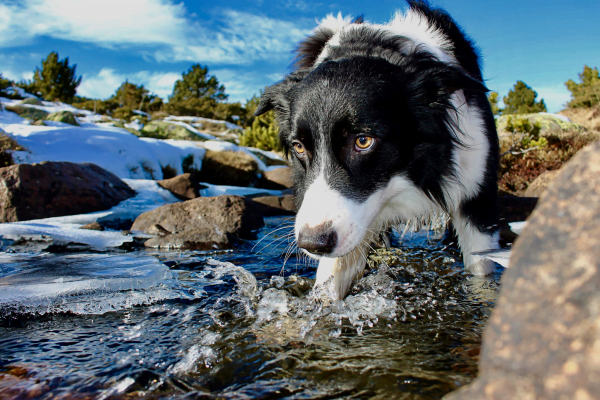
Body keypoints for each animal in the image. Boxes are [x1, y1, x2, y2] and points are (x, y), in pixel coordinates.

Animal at [254, 0, 502, 300]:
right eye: (299, 147)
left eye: (363, 141)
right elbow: (329, 282)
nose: (312, 243)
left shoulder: (476, 193)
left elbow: (481, 271)